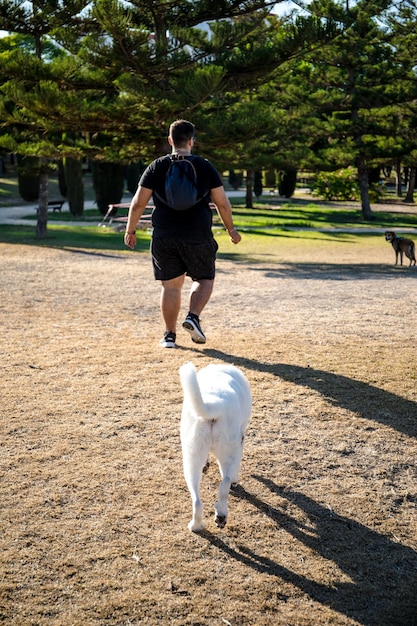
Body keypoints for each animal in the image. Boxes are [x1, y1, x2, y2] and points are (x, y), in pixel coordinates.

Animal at [178, 358, 250, 528]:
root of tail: (214, 402)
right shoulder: (241, 438)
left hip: (191, 459)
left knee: (197, 501)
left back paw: (197, 525)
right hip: (229, 452)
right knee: (225, 484)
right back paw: (222, 514)